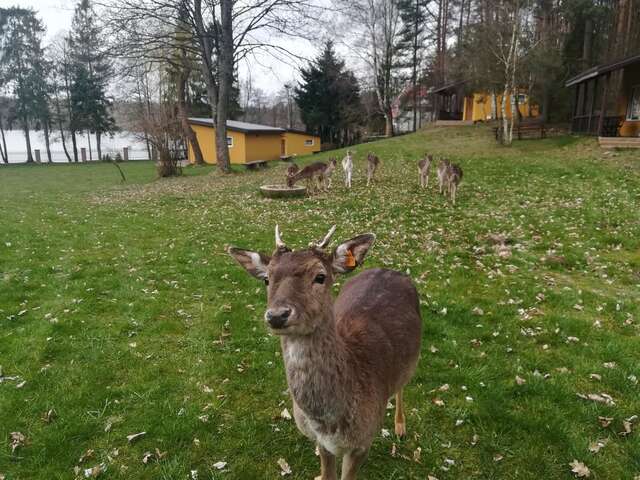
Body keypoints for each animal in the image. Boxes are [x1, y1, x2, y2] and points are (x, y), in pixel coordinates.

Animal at [228, 226, 422, 480]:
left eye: (320, 276)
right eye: (266, 279)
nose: (277, 315)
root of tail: (392, 270)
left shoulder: (362, 443)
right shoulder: (322, 443)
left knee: (401, 387)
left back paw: (400, 427)